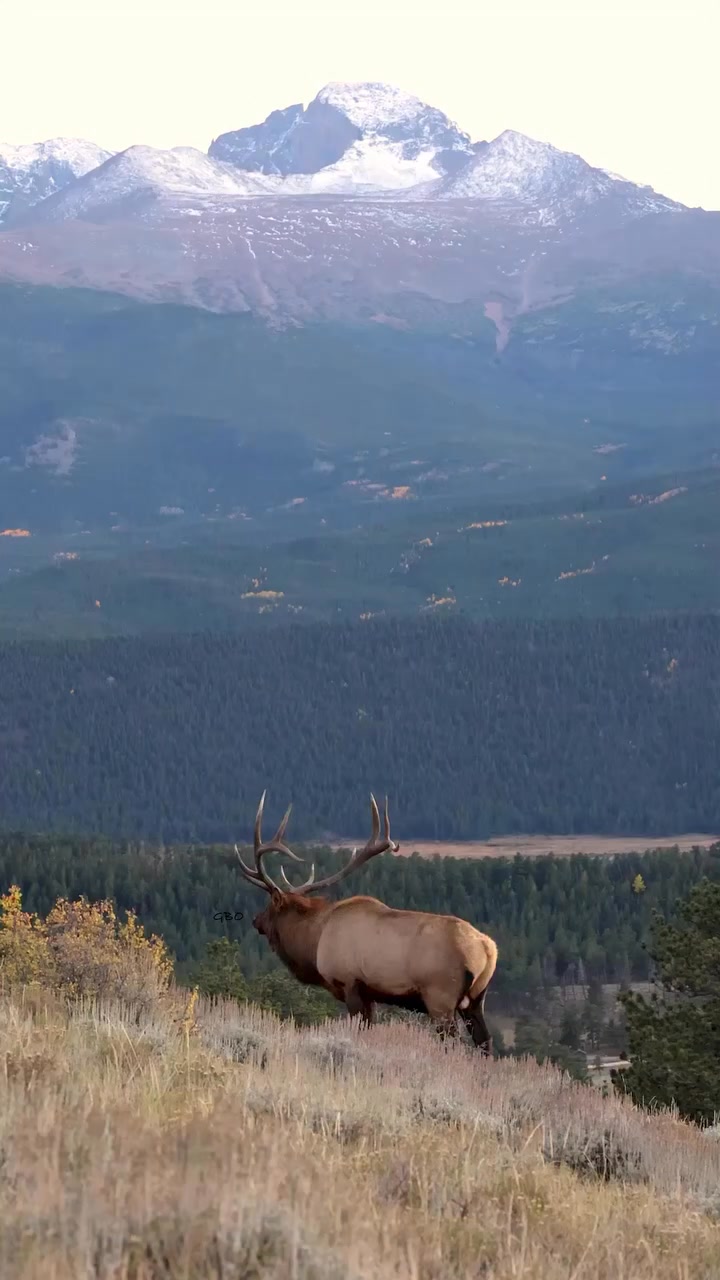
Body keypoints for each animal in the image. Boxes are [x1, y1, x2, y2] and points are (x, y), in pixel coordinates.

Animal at [235, 792, 498, 1053]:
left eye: (270, 906)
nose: (255, 920)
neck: (314, 942)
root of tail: (487, 949)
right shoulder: (370, 994)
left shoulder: (350, 983)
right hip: (476, 999)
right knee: (485, 1041)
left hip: (440, 996)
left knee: (453, 1042)